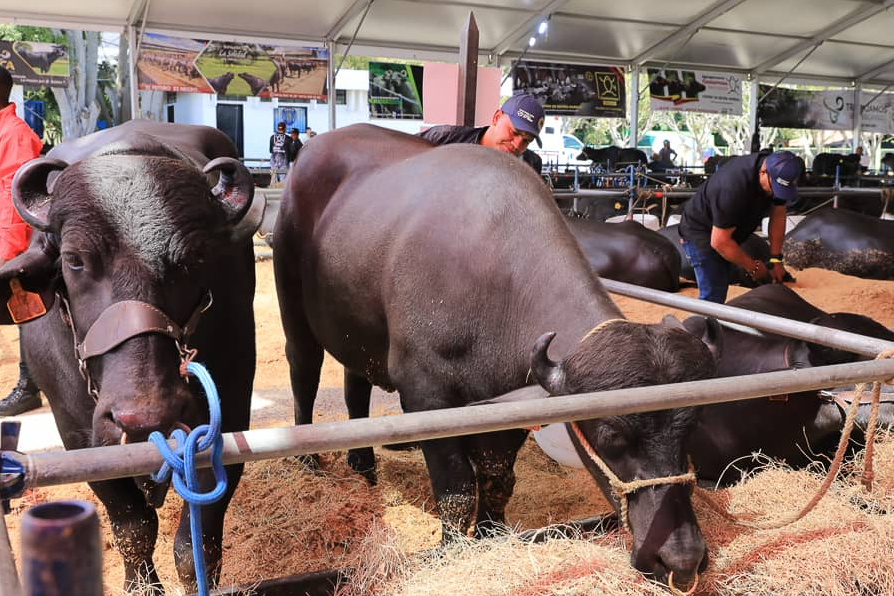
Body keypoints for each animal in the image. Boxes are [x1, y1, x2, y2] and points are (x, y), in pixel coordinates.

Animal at [3, 120, 260, 592]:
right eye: (73, 260)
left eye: (194, 259)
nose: (144, 420)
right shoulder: (78, 435)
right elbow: (132, 528)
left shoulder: (230, 414)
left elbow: (198, 542)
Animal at [276, 123, 716, 584]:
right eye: (612, 435)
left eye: (692, 427)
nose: (683, 559)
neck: (493, 287)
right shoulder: (426, 397)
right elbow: (455, 490)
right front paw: (452, 548)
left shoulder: (508, 404)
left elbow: (496, 478)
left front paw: (490, 533)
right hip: (292, 300)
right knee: (304, 370)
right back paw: (308, 459)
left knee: (355, 382)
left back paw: (363, 463)